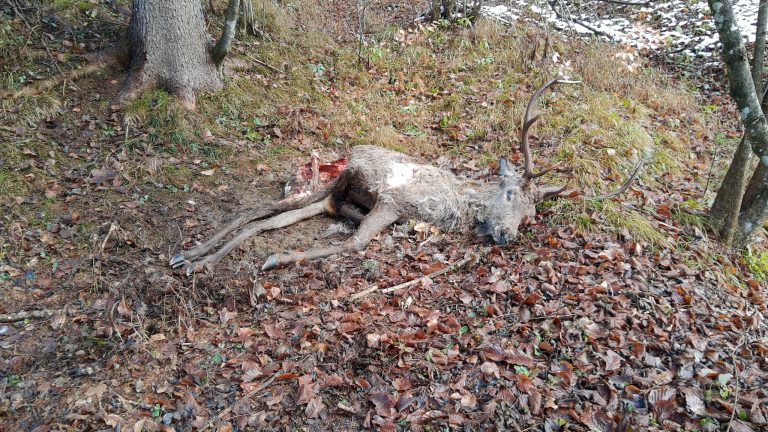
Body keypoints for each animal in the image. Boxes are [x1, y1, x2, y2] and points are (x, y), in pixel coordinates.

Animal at [170, 78, 645, 274]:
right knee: (260, 209)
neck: (458, 207)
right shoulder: (394, 202)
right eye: (511, 193)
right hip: (338, 178)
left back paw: (193, 258)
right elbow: (357, 244)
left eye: (531, 218)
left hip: (325, 195)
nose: (507, 235)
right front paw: (277, 260)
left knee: (271, 219)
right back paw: (191, 255)